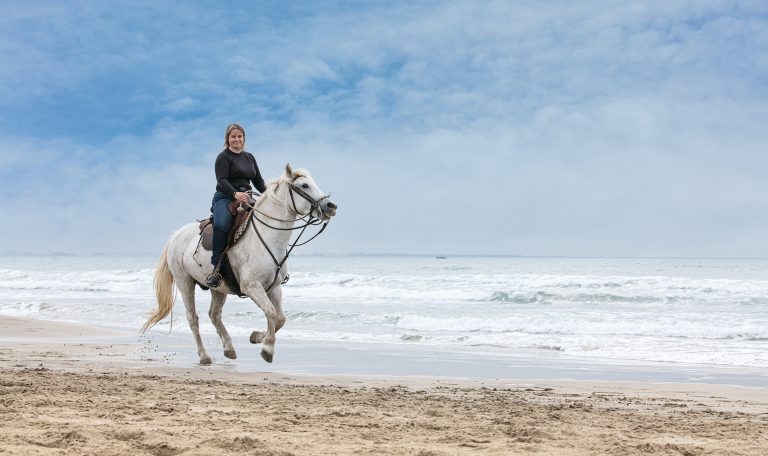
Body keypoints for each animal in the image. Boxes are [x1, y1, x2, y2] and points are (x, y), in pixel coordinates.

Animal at [144, 164, 336, 364]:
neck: (267, 236)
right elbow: (271, 312)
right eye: (304, 185)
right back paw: (204, 356)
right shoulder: (252, 286)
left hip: (218, 287)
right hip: (184, 282)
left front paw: (257, 337)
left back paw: (229, 348)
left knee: (214, 315)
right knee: (193, 318)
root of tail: (176, 235)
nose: (330, 206)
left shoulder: (274, 287)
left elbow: (280, 318)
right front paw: (267, 349)